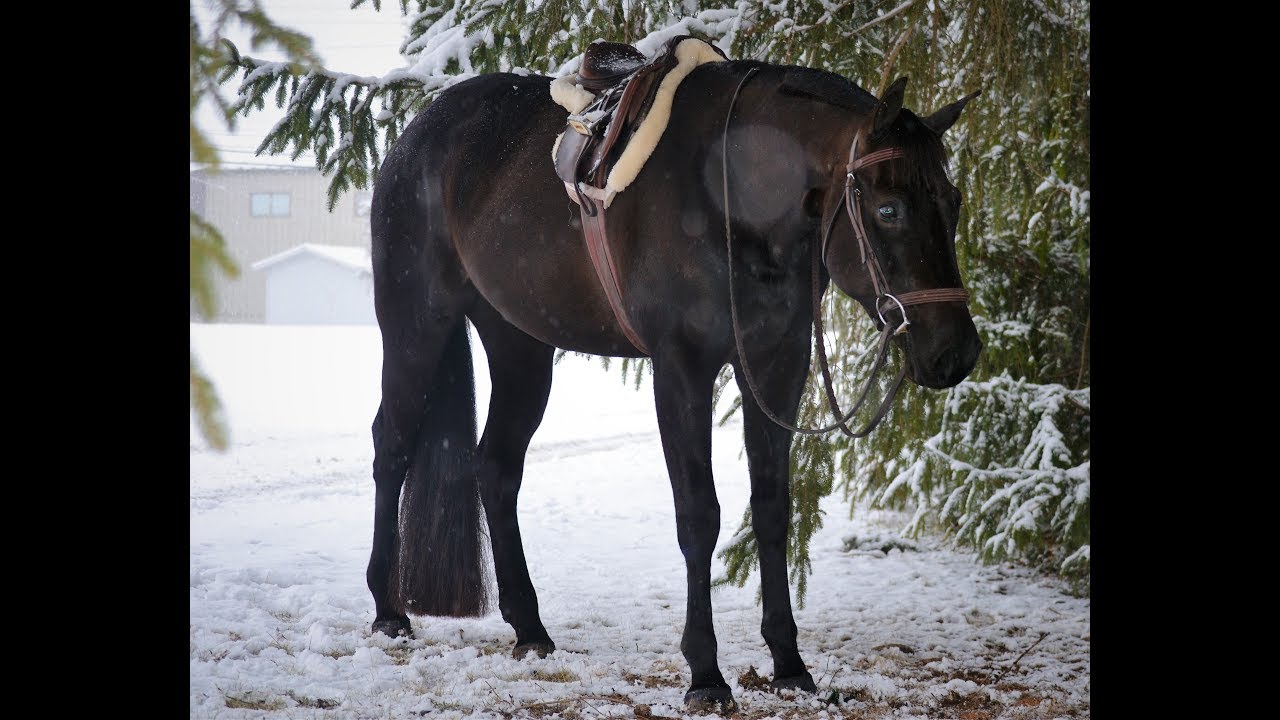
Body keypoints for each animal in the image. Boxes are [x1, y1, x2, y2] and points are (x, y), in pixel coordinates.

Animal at [364, 45, 981, 712]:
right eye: (888, 209)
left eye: (954, 202)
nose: (956, 351)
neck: (733, 193)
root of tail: (418, 134)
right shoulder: (681, 370)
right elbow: (699, 516)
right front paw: (705, 674)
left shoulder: (776, 366)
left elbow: (772, 510)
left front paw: (789, 664)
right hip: (415, 324)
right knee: (392, 447)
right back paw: (388, 610)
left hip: (520, 346)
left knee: (496, 468)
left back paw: (530, 629)